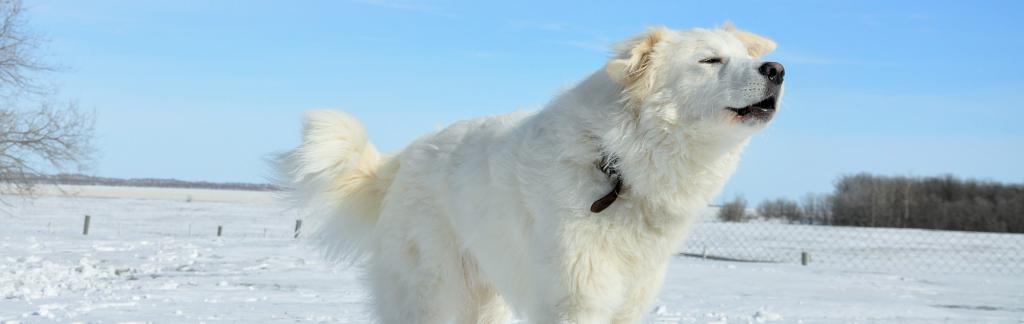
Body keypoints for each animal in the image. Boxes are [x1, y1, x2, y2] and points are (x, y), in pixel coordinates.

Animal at [280, 23, 782, 324]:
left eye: (743, 55)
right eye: (710, 60)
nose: (776, 69)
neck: (618, 163)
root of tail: (403, 158)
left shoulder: (627, 303)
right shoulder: (575, 301)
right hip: (432, 296)